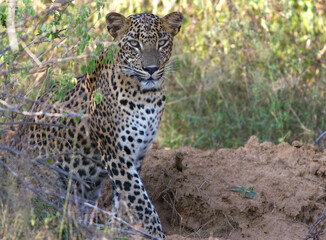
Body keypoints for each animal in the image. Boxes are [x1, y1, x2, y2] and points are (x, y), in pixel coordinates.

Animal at [21, 11, 182, 238]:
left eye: (162, 42)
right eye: (134, 43)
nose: (151, 69)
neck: (148, 96)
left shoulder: (137, 155)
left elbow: (125, 200)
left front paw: (115, 230)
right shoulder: (116, 154)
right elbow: (141, 201)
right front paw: (156, 234)